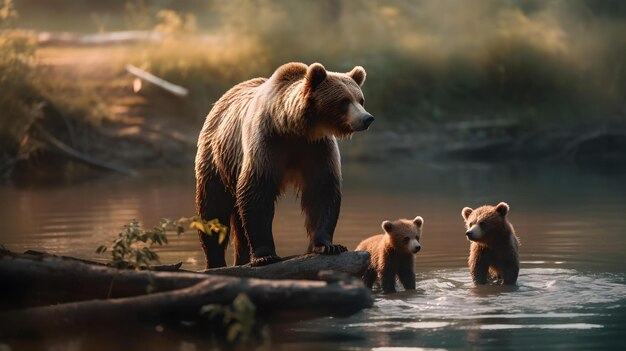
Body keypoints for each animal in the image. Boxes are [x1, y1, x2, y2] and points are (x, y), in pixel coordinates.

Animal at [195, 62, 372, 268]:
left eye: (360, 100)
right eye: (344, 101)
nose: (367, 118)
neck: (292, 128)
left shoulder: (317, 148)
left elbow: (322, 190)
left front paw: (328, 245)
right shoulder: (267, 143)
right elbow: (256, 192)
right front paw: (265, 256)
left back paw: (241, 259)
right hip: (216, 159)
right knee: (212, 208)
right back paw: (215, 261)